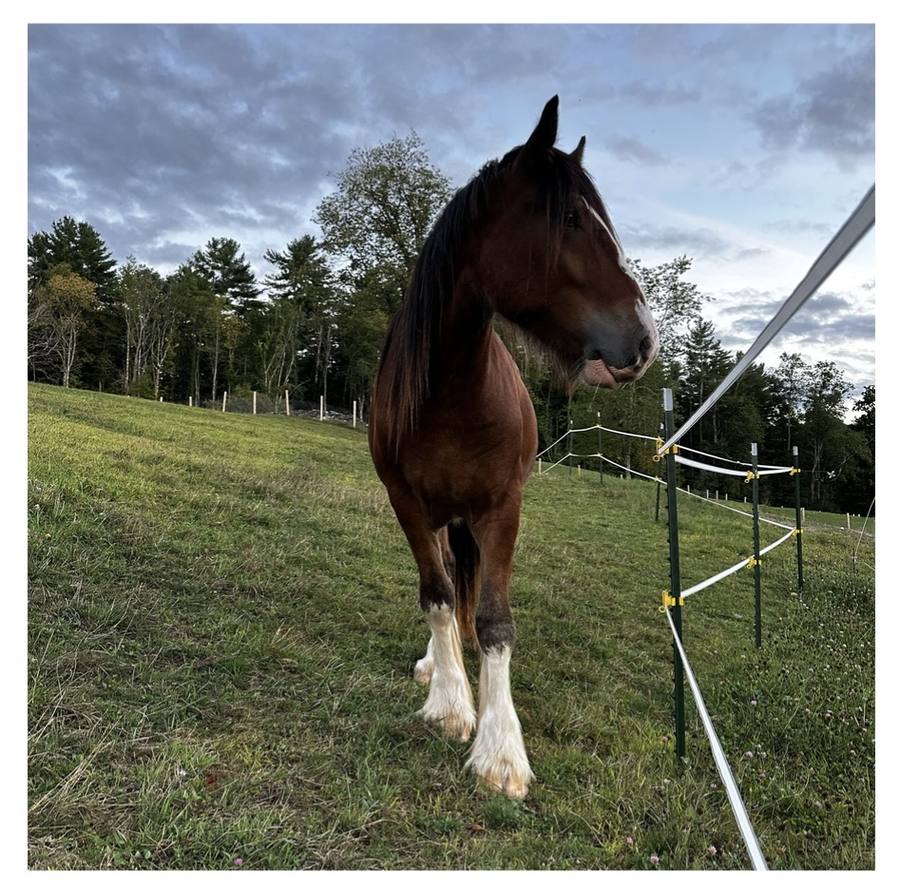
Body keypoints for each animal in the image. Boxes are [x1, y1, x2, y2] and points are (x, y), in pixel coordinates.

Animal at [368, 96, 658, 799]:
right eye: (572, 219)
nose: (644, 339)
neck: (451, 393)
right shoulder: (407, 504)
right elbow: (436, 594)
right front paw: (451, 704)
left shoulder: (502, 508)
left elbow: (496, 621)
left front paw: (500, 750)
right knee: (448, 581)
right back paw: (440, 664)